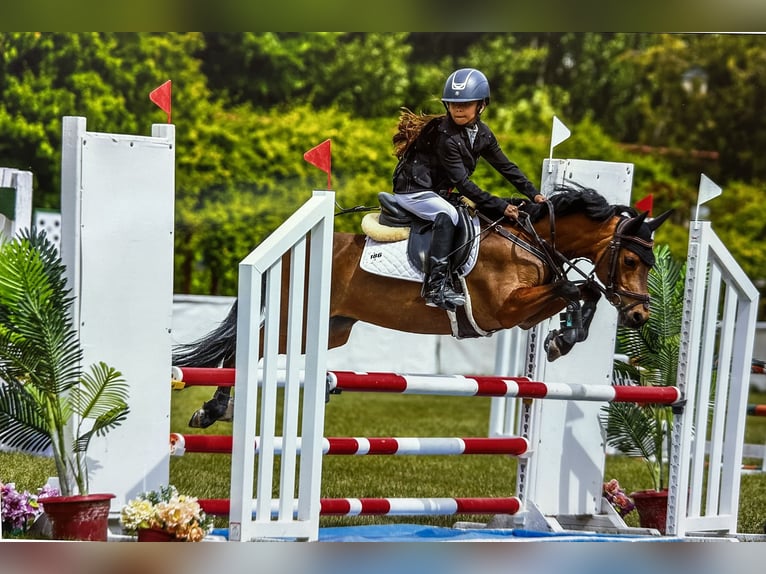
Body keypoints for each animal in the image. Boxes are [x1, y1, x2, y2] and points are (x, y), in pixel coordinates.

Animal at [173, 184, 671, 428]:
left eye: (647, 264)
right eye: (630, 260)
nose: (639, 315)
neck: (529, 241)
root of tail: (293, 249)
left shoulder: (523, 310)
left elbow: (582, 292)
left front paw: (562, 338)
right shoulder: (504, 310)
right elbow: (573, 289)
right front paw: (562, 337)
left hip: (329, 328)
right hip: (290, 319)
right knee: (242, 349)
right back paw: (211, 410)